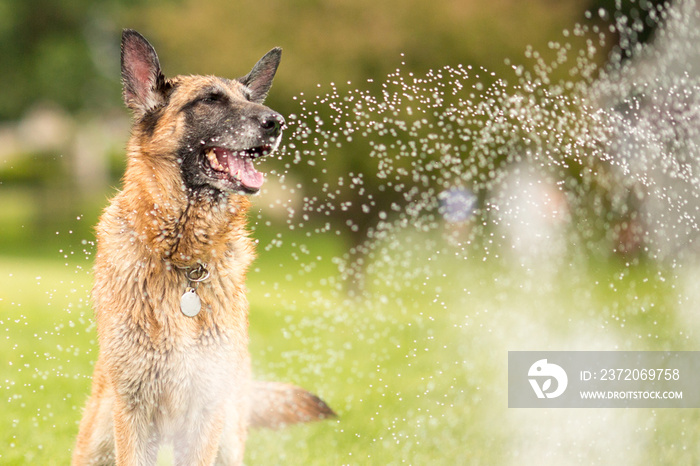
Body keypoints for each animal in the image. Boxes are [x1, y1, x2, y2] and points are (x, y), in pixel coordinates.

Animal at [72, 31, 336, 464]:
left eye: (250, 98)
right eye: (211, 99)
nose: (276, 123)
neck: (183, 260)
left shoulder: (205, 411)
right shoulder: (134, 411)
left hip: (227, 439)